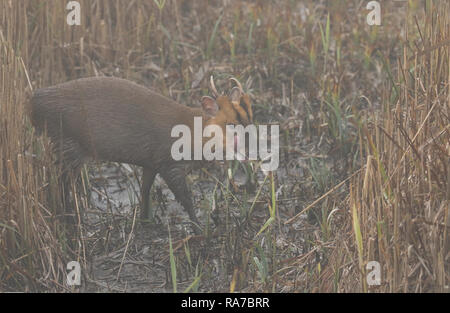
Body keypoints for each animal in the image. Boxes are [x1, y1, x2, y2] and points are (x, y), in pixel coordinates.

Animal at [29, 75, 253, 232]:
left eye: (249, 118)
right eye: (230, 123)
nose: (250, 147)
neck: (193, 134)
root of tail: (32, 103)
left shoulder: (151, 162)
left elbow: (145, 190)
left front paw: (146, 221)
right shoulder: (168, 162)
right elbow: (185, 197)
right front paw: (199, 229)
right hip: (69, 144)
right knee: (61, 183)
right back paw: (70, 219)